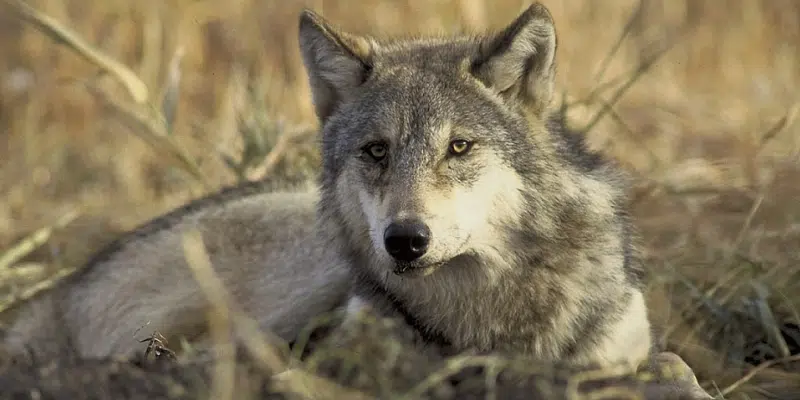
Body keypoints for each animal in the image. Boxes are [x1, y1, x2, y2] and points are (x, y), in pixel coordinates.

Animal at [5, 1, 661, 374]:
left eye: (459, 147)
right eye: (377, 151)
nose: (405, 241)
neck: (484, 316)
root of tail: (63, 289)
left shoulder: (622, 347)